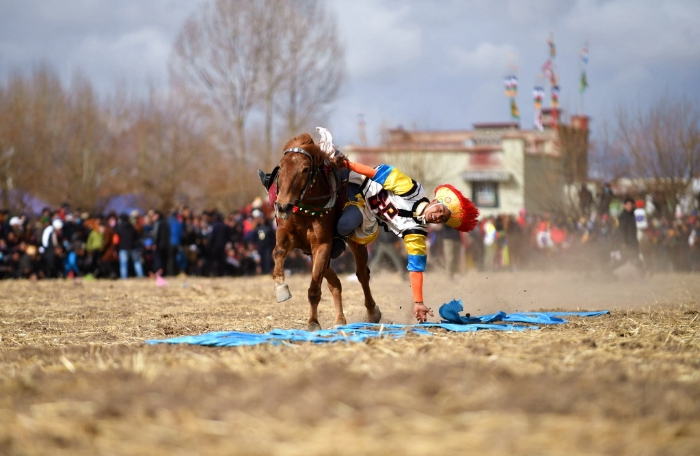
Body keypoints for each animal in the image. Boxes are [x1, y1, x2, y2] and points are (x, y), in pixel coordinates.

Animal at [268, 133, 380, 332]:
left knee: (362, 274)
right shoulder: (286, 234)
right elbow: (278, 252)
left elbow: (314, 290)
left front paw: (313, 322)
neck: (306, 210)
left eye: (305, 169)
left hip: (354, 242)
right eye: (281, 167)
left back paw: (372, 311)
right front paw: (281, 287)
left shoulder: (322, 245)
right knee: (335, 283)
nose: (282, 206)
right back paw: (340, 319)